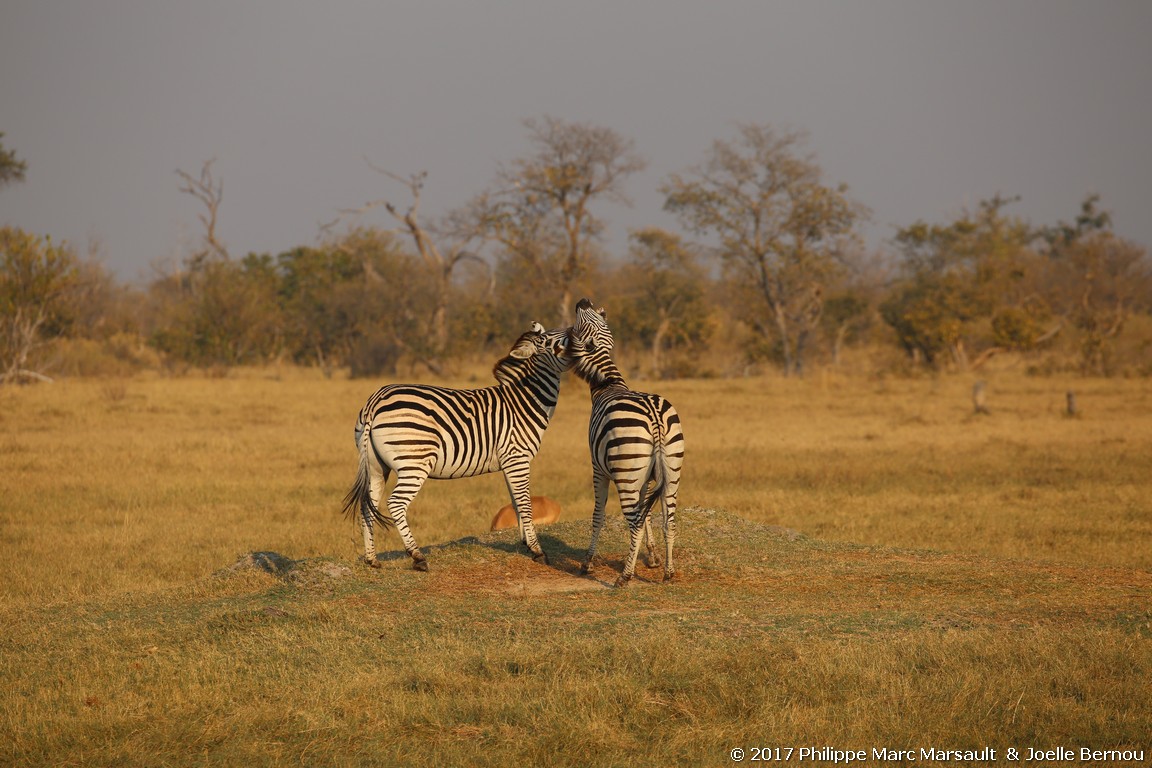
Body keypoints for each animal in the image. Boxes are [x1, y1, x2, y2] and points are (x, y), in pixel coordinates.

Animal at [340, 322, 576, 568]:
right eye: (555, 342)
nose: (576, 332)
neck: (524, 400)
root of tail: (375, 402)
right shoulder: (517, 458)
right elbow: (524, 502)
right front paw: (537, 550)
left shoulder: (510, 462)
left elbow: (516, 502)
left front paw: (525, 543)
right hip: (414, 463)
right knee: (396, 503)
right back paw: (417, 556)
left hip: (376, 467)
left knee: (368, 506)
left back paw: (372, 559)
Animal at [569, 297, 681, 584]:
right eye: (595, 315)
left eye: (582, 321)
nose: (583, 300)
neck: (609, 384)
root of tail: (655, 417)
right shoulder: (648, 477)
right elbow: (648, 512)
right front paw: (652, 556)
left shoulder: (597, 469)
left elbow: (598, 515)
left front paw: (587, 563)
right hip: (671, 470)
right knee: (669, 521)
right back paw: (668, 572)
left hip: (626, 474)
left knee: (635, 522)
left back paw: (625, 576)